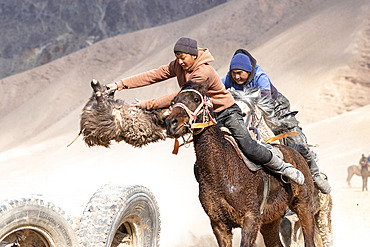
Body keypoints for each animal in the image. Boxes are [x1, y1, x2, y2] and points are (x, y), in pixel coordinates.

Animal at [165, 80, 316, 246]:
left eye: (196, 99)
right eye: (174, 101)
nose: (171, 123)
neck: (222, 171)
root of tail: (296, 153)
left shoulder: (251, 218)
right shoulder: (219, 225)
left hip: (304, 206)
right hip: (271, 221)